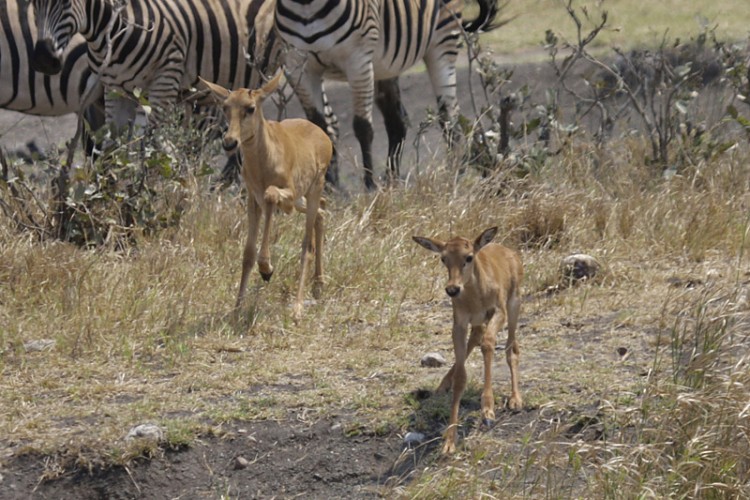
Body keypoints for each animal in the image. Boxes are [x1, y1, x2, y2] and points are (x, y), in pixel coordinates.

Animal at [204, 72, 336, 318]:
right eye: (225, 106)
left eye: (250, 107)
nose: (229, 142)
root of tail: (324, 136)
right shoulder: (252, 198)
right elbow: (247, 253)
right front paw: (236, 310)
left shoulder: (284, 196)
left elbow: (271, 196)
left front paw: (266, 269)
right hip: (303, 198)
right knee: (322, 212)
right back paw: (318, 286)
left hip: (312, 189)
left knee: (307, 243)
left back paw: (298, 307)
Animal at [274, 0, 500, 190]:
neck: (306, 5)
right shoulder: (297, 66)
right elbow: (319, 128)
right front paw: (327, 188)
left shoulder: (358, 59)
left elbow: (362, 127)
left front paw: (370, 186)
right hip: (386, 66)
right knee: (398, 122)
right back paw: (393, 181)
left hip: (443, 42)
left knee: (449, 118)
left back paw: (454, 176)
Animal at [414, 227, 524, 454]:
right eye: (443, 258)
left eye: (469, 256)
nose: (452, 289)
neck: (475, 296)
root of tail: (509, 252)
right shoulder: (459, 324)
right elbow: (461, 375)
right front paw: (449, 441)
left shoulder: (498, 312)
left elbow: (489, 344)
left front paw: (488, 410)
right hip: (479, 322)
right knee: (476, 340)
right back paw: (441, 386)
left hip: (514, 306)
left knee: (511, 348)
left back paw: (515, 400)